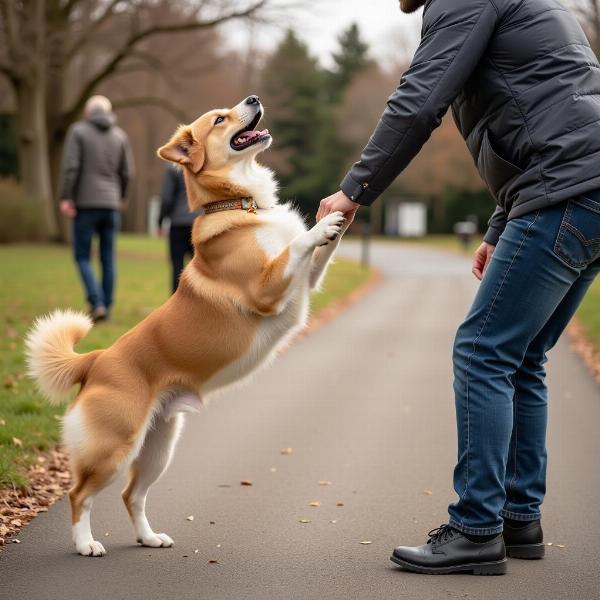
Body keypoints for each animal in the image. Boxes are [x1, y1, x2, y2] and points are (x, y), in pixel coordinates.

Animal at [25, 95, 350, 556]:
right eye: (219, 119)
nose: (253, 98)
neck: (242, 206)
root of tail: (96, 359)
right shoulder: (267, 287)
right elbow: (299, 244)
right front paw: (323, 224)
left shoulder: (306, 281)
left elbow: (318, 251)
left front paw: (341, 215)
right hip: (116, 447)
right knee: (79, 494)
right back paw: (86, 543)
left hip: (158, 447)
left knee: (131, 495)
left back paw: (148, 537)